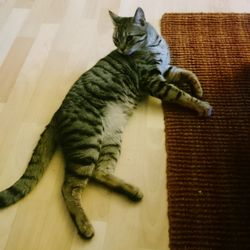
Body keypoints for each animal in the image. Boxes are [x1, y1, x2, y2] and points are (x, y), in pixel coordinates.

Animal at [0, 7, 213, 238]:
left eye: (129, 37)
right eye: (116, 39)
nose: (122, 49)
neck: (154, 43)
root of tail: (57, 114)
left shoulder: (166, 71)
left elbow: (186, 72)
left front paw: (197, 87)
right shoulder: (154, 81)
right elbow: (180, 94)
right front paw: (201, 105)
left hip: (111, 139)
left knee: (99, 172)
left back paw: (131, 191)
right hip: (88, 142)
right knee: (69, 188)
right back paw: (85, 225)